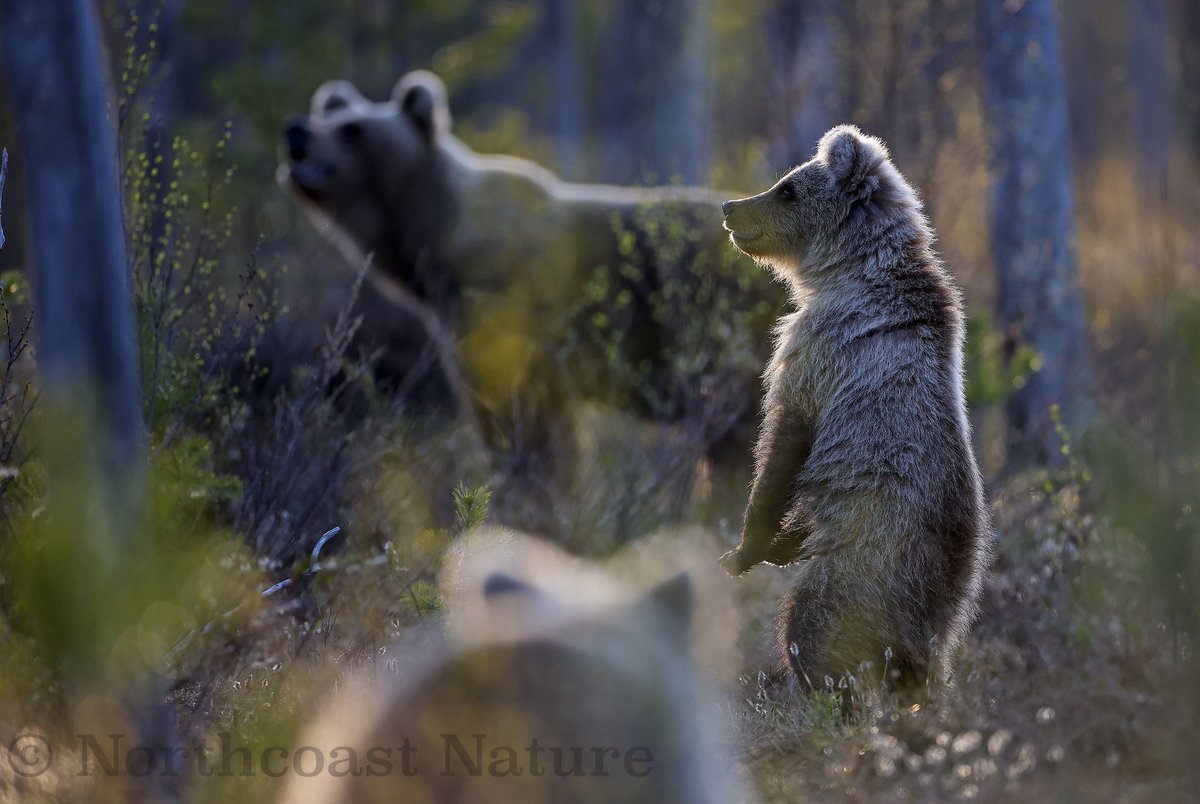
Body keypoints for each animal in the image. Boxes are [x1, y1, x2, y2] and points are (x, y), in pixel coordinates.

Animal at [277, 70, 782, 480]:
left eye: (353, 129)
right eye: (326, 112)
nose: (296, 131)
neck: (433, 239)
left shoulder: (504, 305)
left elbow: (525, 418)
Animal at [717, 125, 991, 698]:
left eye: (788, 188)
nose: (730, 207)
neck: (851, 271)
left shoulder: (818, 354)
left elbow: (781, 445)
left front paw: (744, 548)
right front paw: (773, 544)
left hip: (867, 563)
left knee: (811, 626)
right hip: (950, 602)